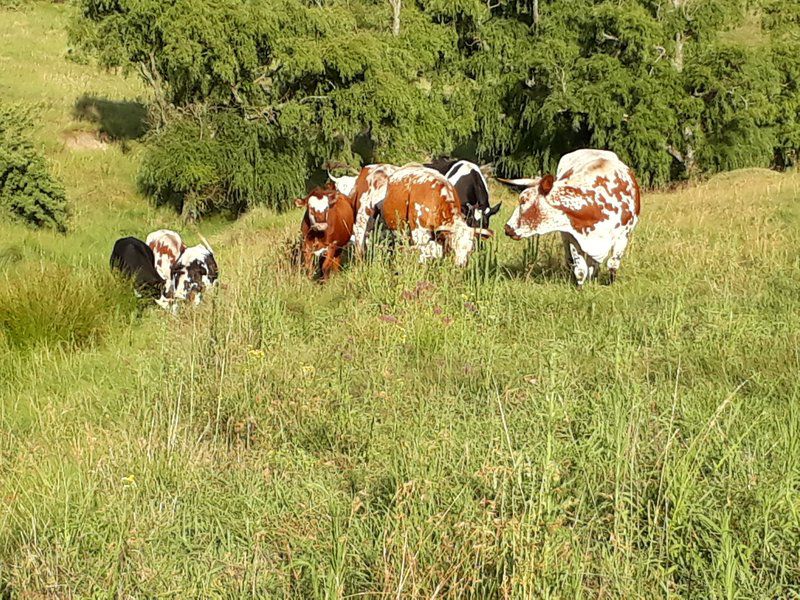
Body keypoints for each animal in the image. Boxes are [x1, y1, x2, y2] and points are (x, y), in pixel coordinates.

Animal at [504, 146, 640, 284]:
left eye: (523, 200)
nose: (507, 228)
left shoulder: (623, 235)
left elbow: (612, 264)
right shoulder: (575, 237)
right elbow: (580, 270)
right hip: (565, 235)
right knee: (571, 260)